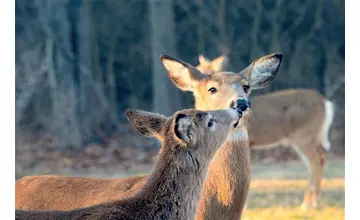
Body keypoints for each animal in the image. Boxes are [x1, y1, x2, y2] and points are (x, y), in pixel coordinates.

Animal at [195, 54, 336, 211]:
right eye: (199, 68)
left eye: (213, 70)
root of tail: (325, 102)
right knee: (317, 161)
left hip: (304, 135)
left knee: (316, 161)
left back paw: (308, 204)